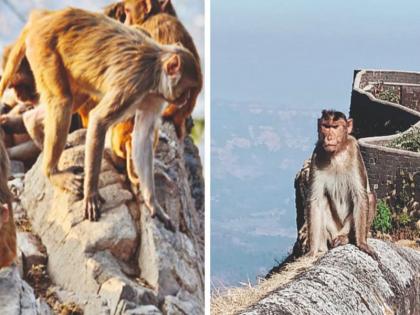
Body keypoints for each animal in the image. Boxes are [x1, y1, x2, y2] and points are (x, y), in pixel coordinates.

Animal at [0, 8, 200, 230]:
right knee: (63, 101)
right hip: (44, 49)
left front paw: (152, 203)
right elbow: (99, 121)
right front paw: (91, 194)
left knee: (71, 99)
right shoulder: (134, 84)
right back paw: (53, 173)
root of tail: (46, 17)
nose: (184, 100)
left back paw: (32, 123)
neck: (156, 70)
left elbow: (143, 136)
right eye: (186, 89)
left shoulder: (155, 96)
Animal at [306, 110, 378, 258]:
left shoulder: (354, 149)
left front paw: (362, 243)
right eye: (326, 126)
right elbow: (315, 200)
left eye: (335, 127)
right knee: (323, 200)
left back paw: (346, 238)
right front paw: (313, 251)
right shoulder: (317, 153)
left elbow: (360, 196)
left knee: (370, 197)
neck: (336, 153)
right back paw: (322, 248)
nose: (328, 137)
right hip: (332, 230)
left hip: (346, 228)